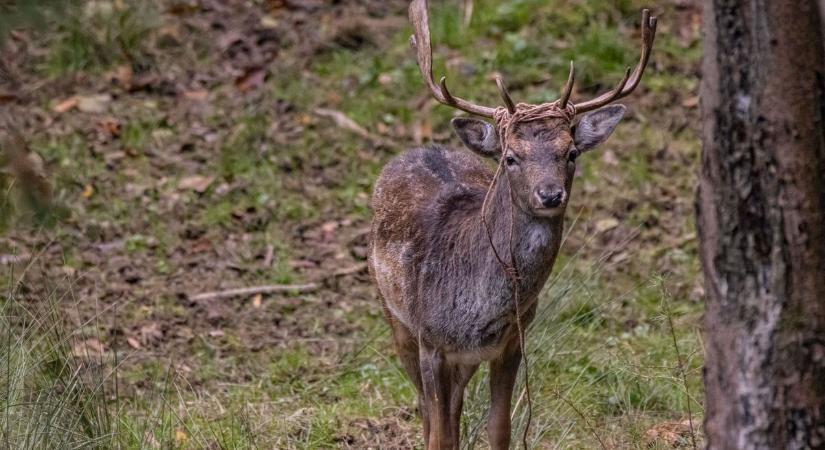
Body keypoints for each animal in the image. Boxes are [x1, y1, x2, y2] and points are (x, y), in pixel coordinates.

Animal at [368, 1, 656, 448]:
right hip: (393, 313)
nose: (550, 195)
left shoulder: (511, 342)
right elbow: (438, 433)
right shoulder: (431, 342)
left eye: (571, 152)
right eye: (510, 157)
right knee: (428, 411)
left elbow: (499, 427)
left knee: (453, 408)